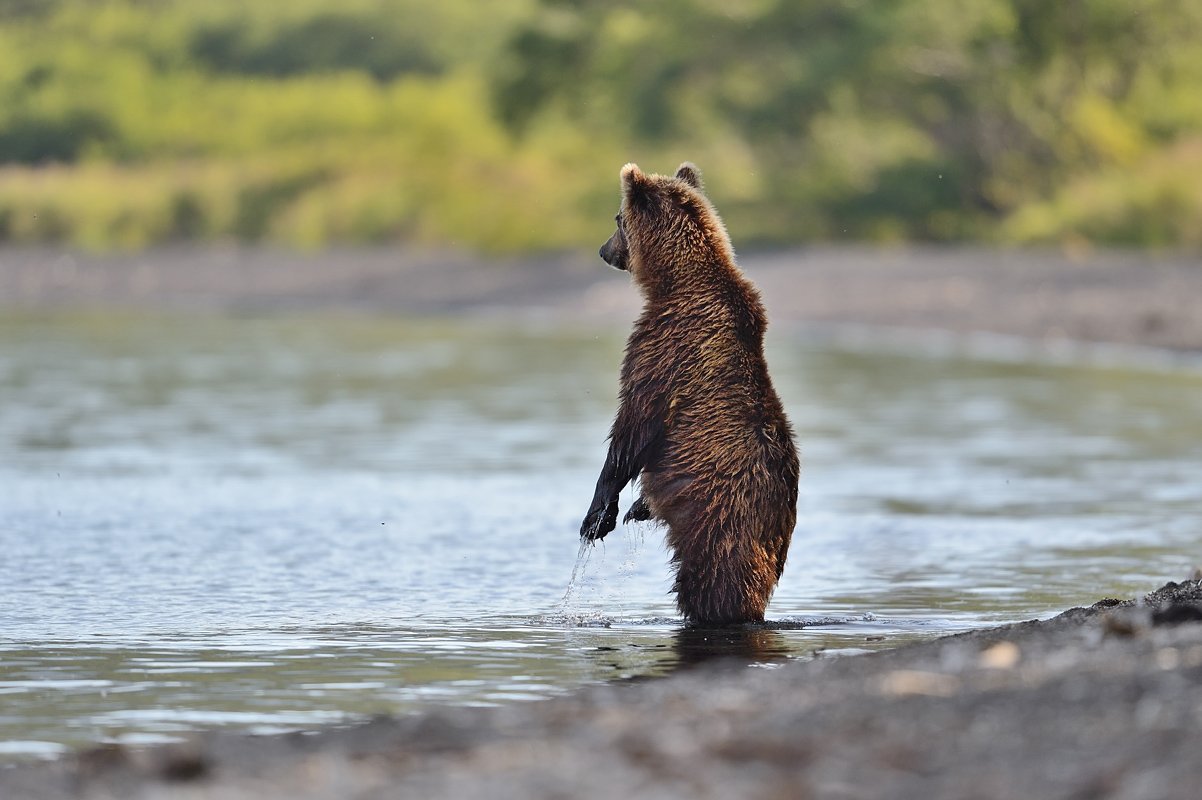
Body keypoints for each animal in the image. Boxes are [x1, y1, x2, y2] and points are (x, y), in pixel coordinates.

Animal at [579, 160, 798, 624]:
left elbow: (632, 427)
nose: (603, 251)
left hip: (718, 519)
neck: (676, 284)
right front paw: (634, 508)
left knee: (710, 581)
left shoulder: (662, 350)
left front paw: (598, 516)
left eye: (617, 218)